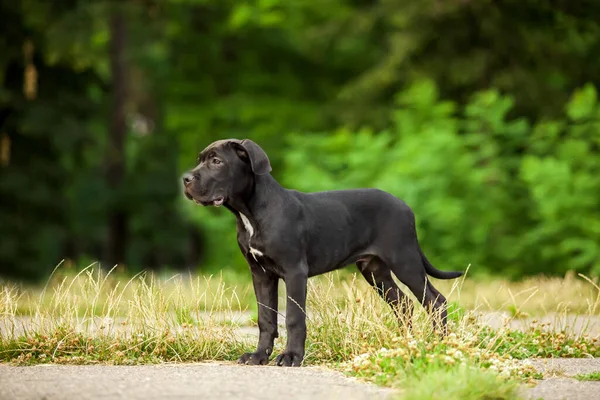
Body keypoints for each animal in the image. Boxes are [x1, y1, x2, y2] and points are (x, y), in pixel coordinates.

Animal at [183, 138, 464, 366]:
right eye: (199, 160)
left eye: (217, 161)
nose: (186, 179)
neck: (250, 213)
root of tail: (406, 207)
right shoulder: (261, 274)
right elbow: (265, 318)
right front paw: (259, 356)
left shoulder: (295, 272)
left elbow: (294, 317)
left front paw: (292, 357)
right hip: (375, 270)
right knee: (404, 304)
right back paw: (404, 342)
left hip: (404, 259)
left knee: (435, 301)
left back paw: (439, 345)